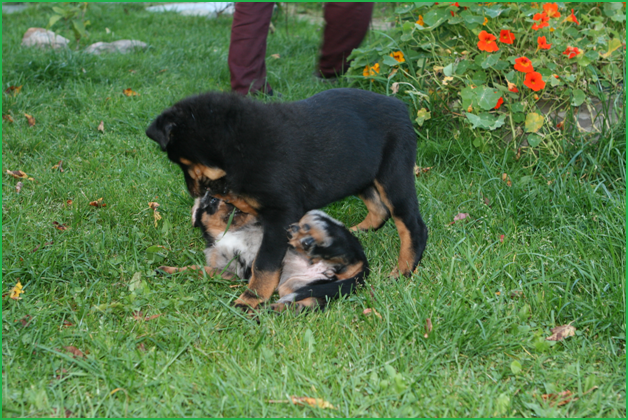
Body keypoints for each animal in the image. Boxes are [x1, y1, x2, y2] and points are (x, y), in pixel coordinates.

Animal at [157, 192, 370, 310]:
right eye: (212, 200)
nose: (231, 202)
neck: (231, 230)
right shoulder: (228, 271)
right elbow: (196, 269)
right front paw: (168, 270)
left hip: (334, 235)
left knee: (340, 247)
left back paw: (306, 239)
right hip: (299, 285)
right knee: (313, 304)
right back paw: (275, 309)